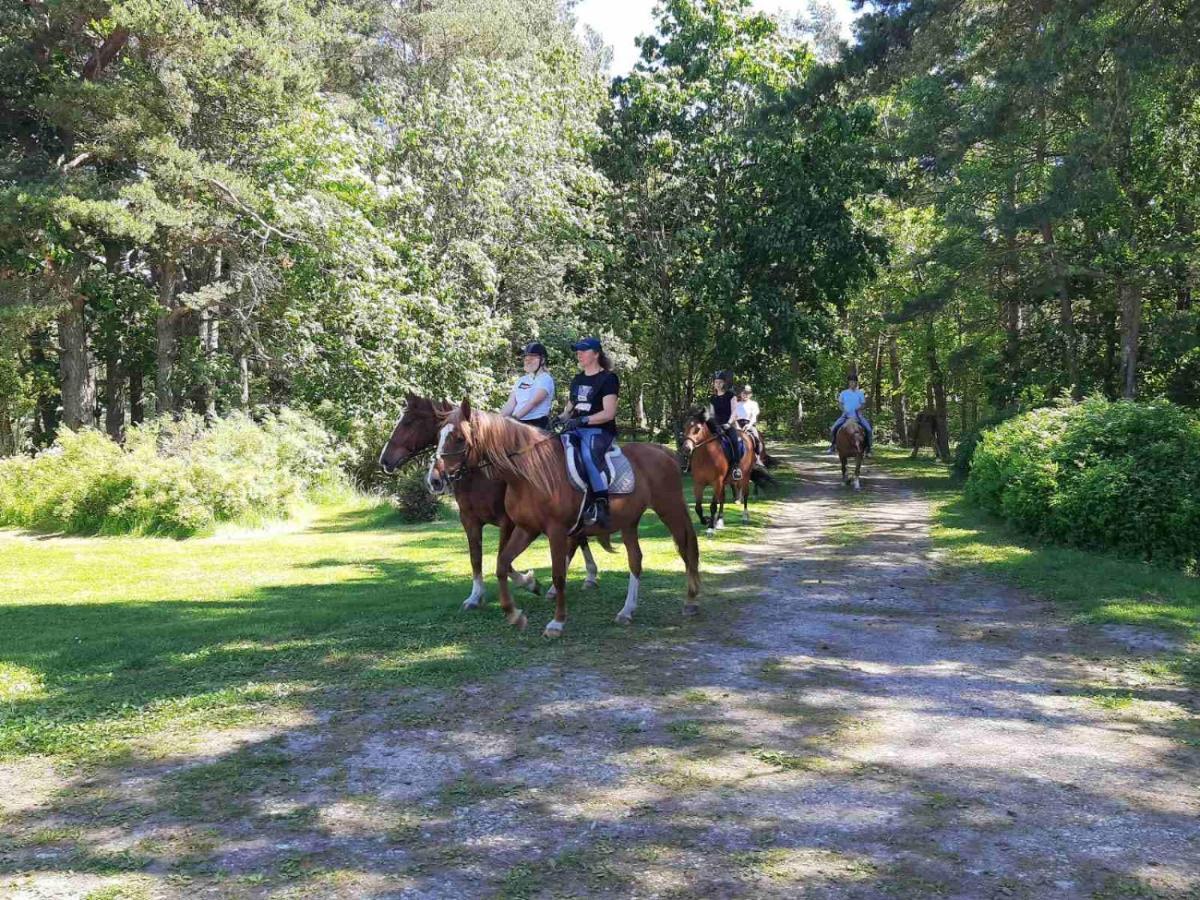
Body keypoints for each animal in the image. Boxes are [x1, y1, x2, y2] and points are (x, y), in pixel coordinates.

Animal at [374, 396, 600, 614]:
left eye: (408, 422)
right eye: (438, 435)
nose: (384, 460)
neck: (480, 474)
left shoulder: (508, 522)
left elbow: (503, 559)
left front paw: (529, 582)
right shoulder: (470, 520)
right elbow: (476, 558)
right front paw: (475, 597)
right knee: (578, 538)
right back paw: (585, 576)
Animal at [432, 400, 700, 643]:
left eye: (459, 438)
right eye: (439, 435)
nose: (438, 478)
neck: (530, 473)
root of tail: (665, 452)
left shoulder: (556, 532)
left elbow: (558, 575)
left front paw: (557, 623)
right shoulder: (526, 529)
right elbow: (502, 563)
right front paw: (515, 613)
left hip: (670, 509)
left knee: (686, 549)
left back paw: (690, 601)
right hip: (629, 521)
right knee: (636, 560)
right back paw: (627, 611)